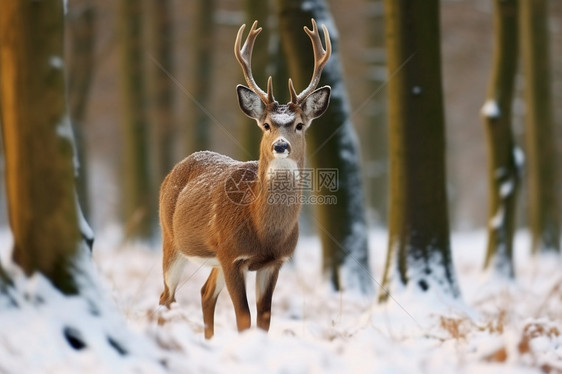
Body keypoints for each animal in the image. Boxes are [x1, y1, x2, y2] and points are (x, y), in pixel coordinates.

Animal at [158, 19, 330, 338]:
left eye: (300, 125)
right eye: (266, 125)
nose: (280, 146)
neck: (264, 231)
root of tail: (178, 166)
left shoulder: (274, 263)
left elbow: (264, 319)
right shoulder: (232, 256)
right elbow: (243, 319)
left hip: (210, 257)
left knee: (204, 293)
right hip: (171, 240)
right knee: (166, 297)